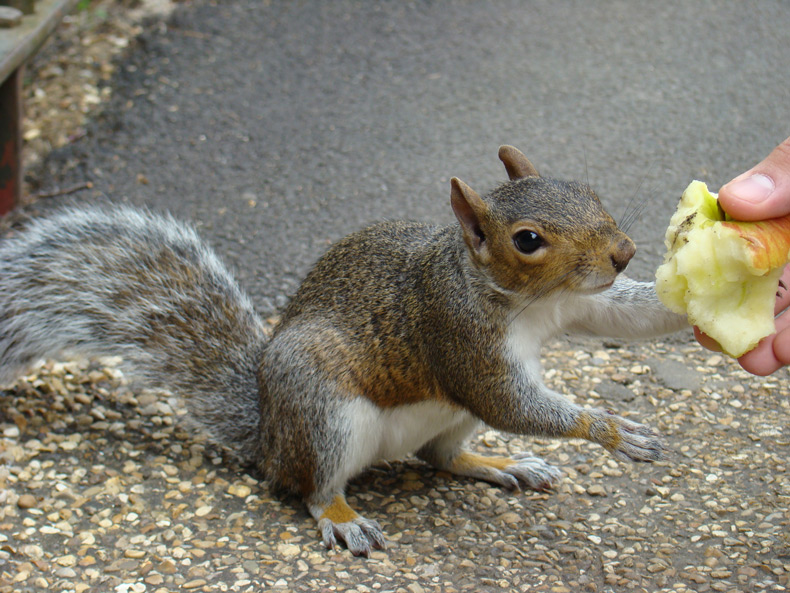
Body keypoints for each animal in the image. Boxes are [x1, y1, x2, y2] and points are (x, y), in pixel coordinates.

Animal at [0, 146, 687, 556]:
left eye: (585, 188)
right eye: (527, 240)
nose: (624, 251)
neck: (523, 299)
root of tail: (271, 440)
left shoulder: (581, 302)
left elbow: (628, 313)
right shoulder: (459, 337)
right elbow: (510, 404)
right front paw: (615, 431)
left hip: (441, 420)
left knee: (439, 458)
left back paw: (498, 463)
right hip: (323, 412)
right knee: (311, 487)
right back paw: (341, 515)